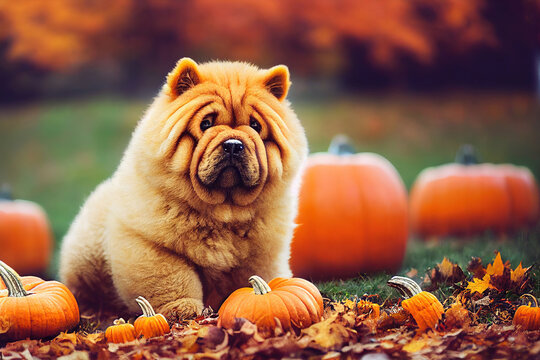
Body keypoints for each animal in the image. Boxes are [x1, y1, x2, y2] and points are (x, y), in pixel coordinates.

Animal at [59, 57, 308, 320]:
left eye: (255, 126)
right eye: (206, 124)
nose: (233, 144)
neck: (223, 210)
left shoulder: (261, 252)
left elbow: (254, 275)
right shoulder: (150, 244)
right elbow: (172, 278)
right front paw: (182, 309)